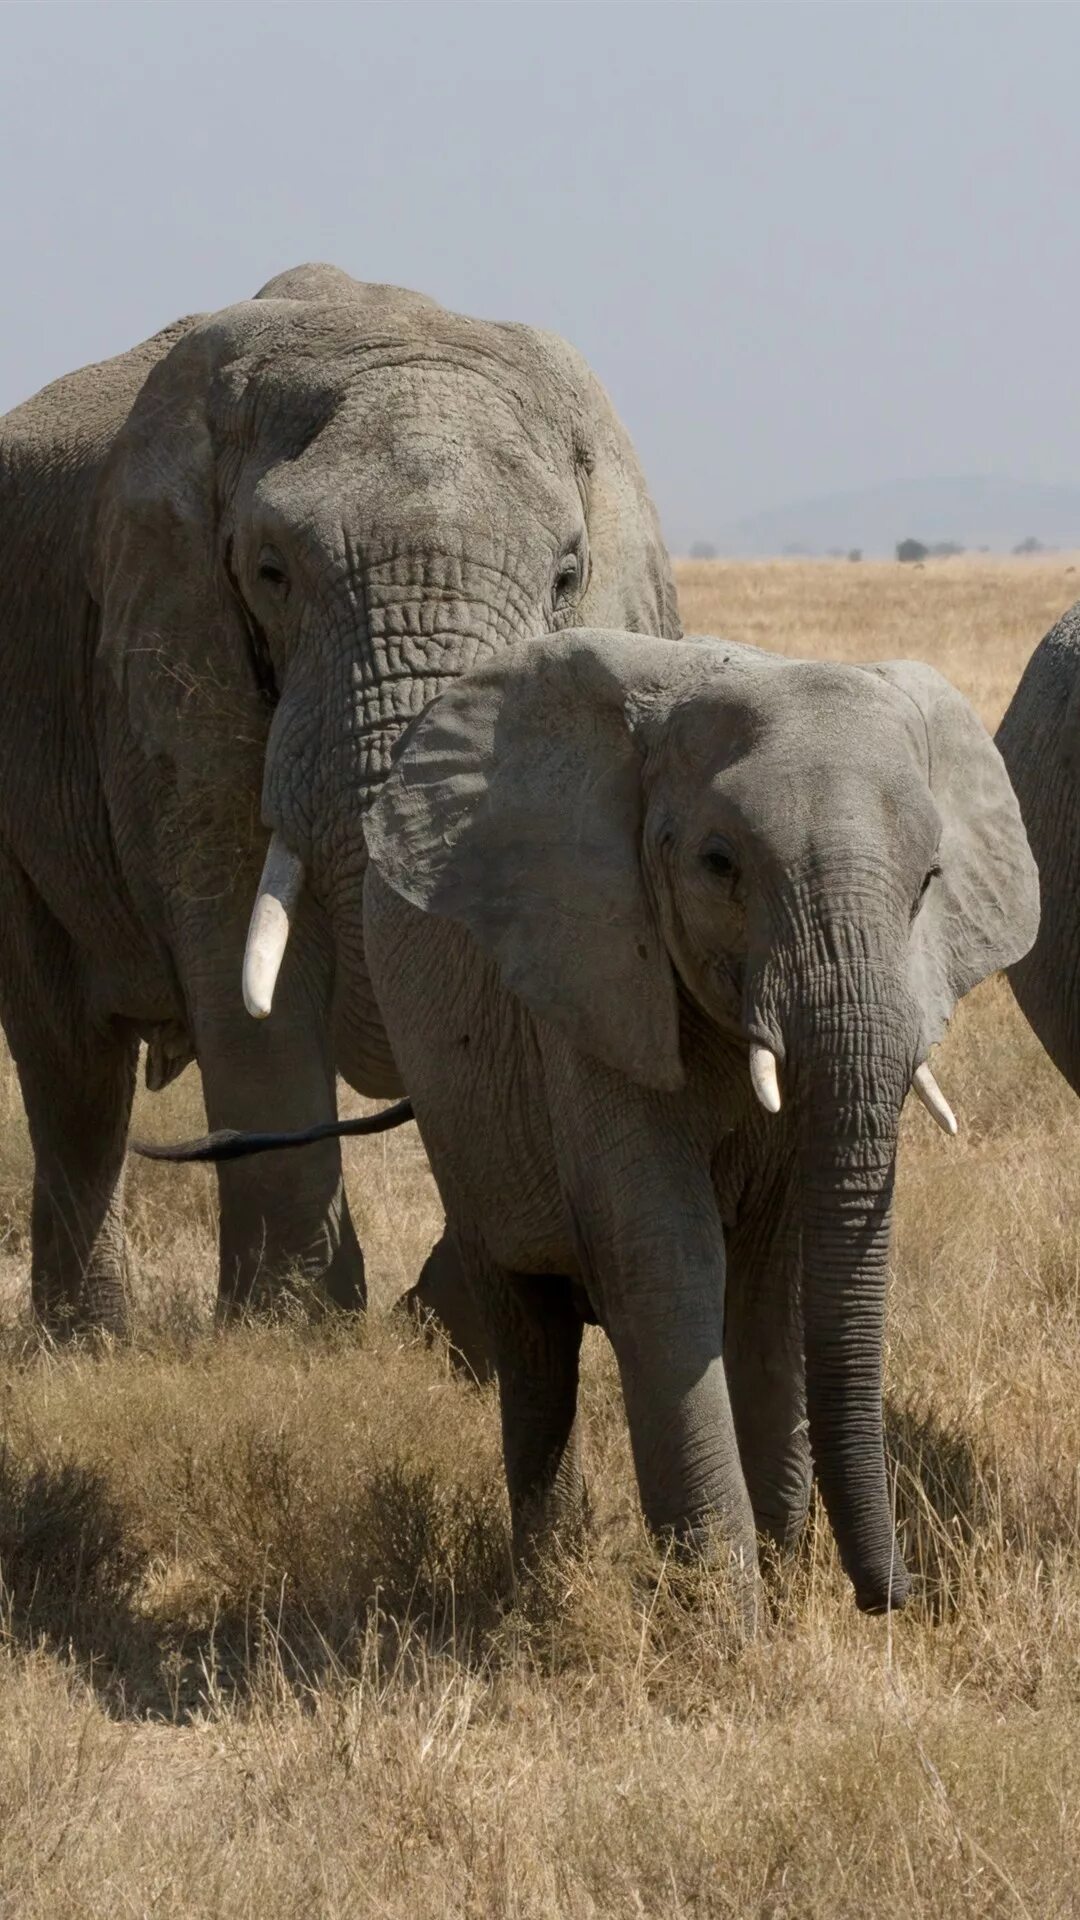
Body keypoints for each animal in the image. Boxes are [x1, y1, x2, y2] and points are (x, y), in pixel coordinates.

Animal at [0, 263, 672, 1328]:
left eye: (569, 576)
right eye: (271, 572)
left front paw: (452, 1319)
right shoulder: (171, 650)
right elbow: (240, 954)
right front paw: (292, 1330)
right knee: (72, 1064)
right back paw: (89, 1340)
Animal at [147, 633, 1037, 1620]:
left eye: (929, 883)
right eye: (719, 864)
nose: (896, 1598)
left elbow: (770, 1284)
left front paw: (775, 1585)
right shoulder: (591, 977)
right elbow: (667, 1263)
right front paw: (723, 1622)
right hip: (456, 1100)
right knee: (532, 1339)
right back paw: (546, 1587)